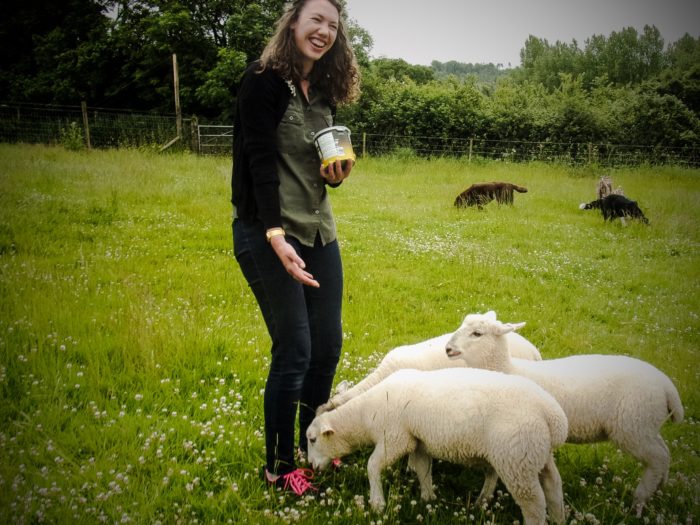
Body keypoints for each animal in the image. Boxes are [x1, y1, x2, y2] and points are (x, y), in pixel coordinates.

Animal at [308, 366, 568, 520]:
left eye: (312, 439)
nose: (311, 466)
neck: (364, 414)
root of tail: (553, 417)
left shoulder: (395, 438)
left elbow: (372, 465)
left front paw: (377, 503)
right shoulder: (418, 442)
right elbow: (423, 469)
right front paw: (427, 498)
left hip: (516, 458)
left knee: (534, 504)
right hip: (535, 454)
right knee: (553, 487)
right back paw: (557, 517)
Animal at [448, 312, 684, 516]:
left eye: (477, 333)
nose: (448, 348)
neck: (509, 368)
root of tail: (667, 387)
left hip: (632, 426)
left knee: (658, 458)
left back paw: (639, 502)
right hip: (645, 426)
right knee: (664, 452)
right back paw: (660, 490)